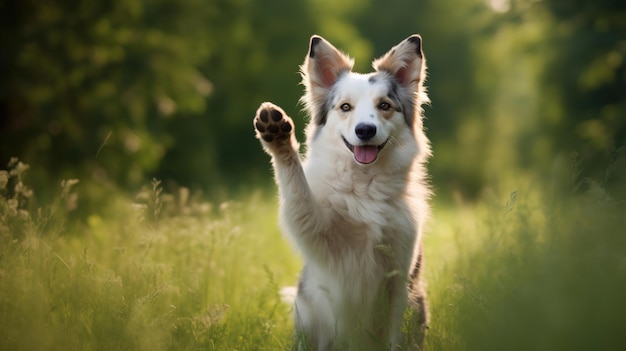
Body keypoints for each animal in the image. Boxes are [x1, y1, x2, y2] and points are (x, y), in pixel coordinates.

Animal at [254, 33, 428, 351]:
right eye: (345, 107)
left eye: (385, 105)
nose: (365, 130)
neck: (365, 184)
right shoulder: (317, 231)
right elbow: (296, 187)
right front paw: (279, 138)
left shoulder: (399, 282)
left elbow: (396, 336)